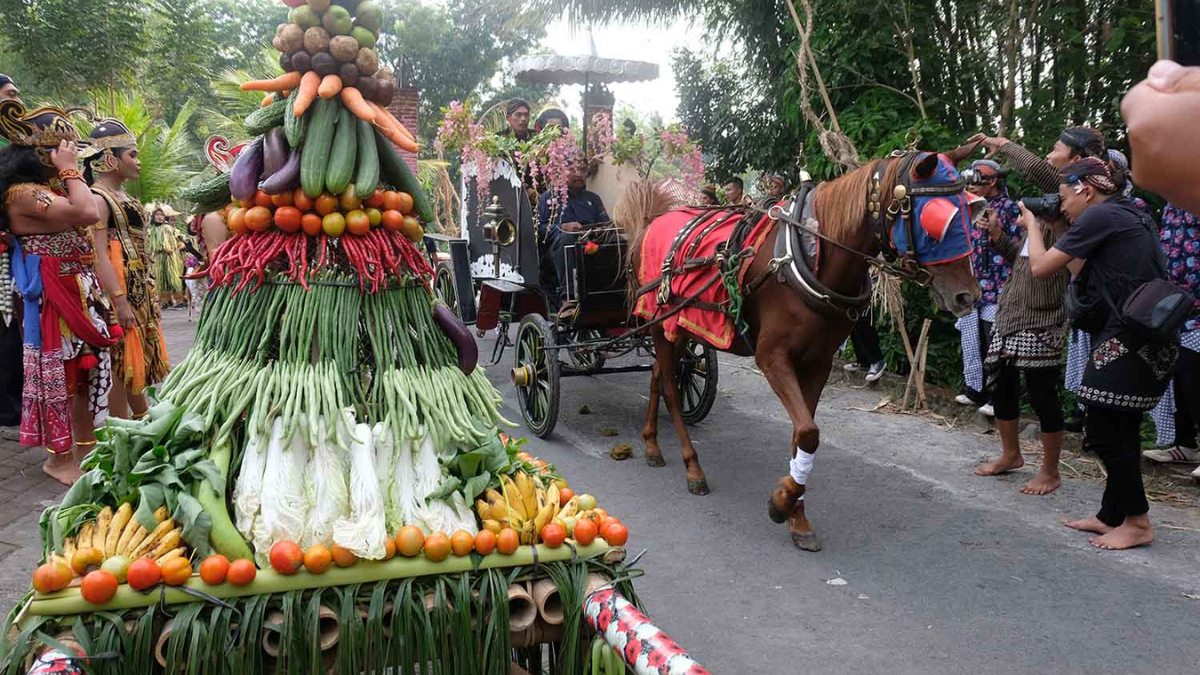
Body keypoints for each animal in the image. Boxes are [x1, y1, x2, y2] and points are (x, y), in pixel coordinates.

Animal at [628, 144, 984, 550]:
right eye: (936, 220)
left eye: (970, 212)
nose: (968, 295)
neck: (809, 257)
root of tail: (653, 221)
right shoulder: (772, 357)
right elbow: (809, 433)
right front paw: (782, 502)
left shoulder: (818, 362)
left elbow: (803, 434)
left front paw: (795, 512)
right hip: (660, 322)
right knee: (671, 389)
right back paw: (692, 466)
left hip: (679, 328)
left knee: (659, 375)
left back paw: (652, 444)